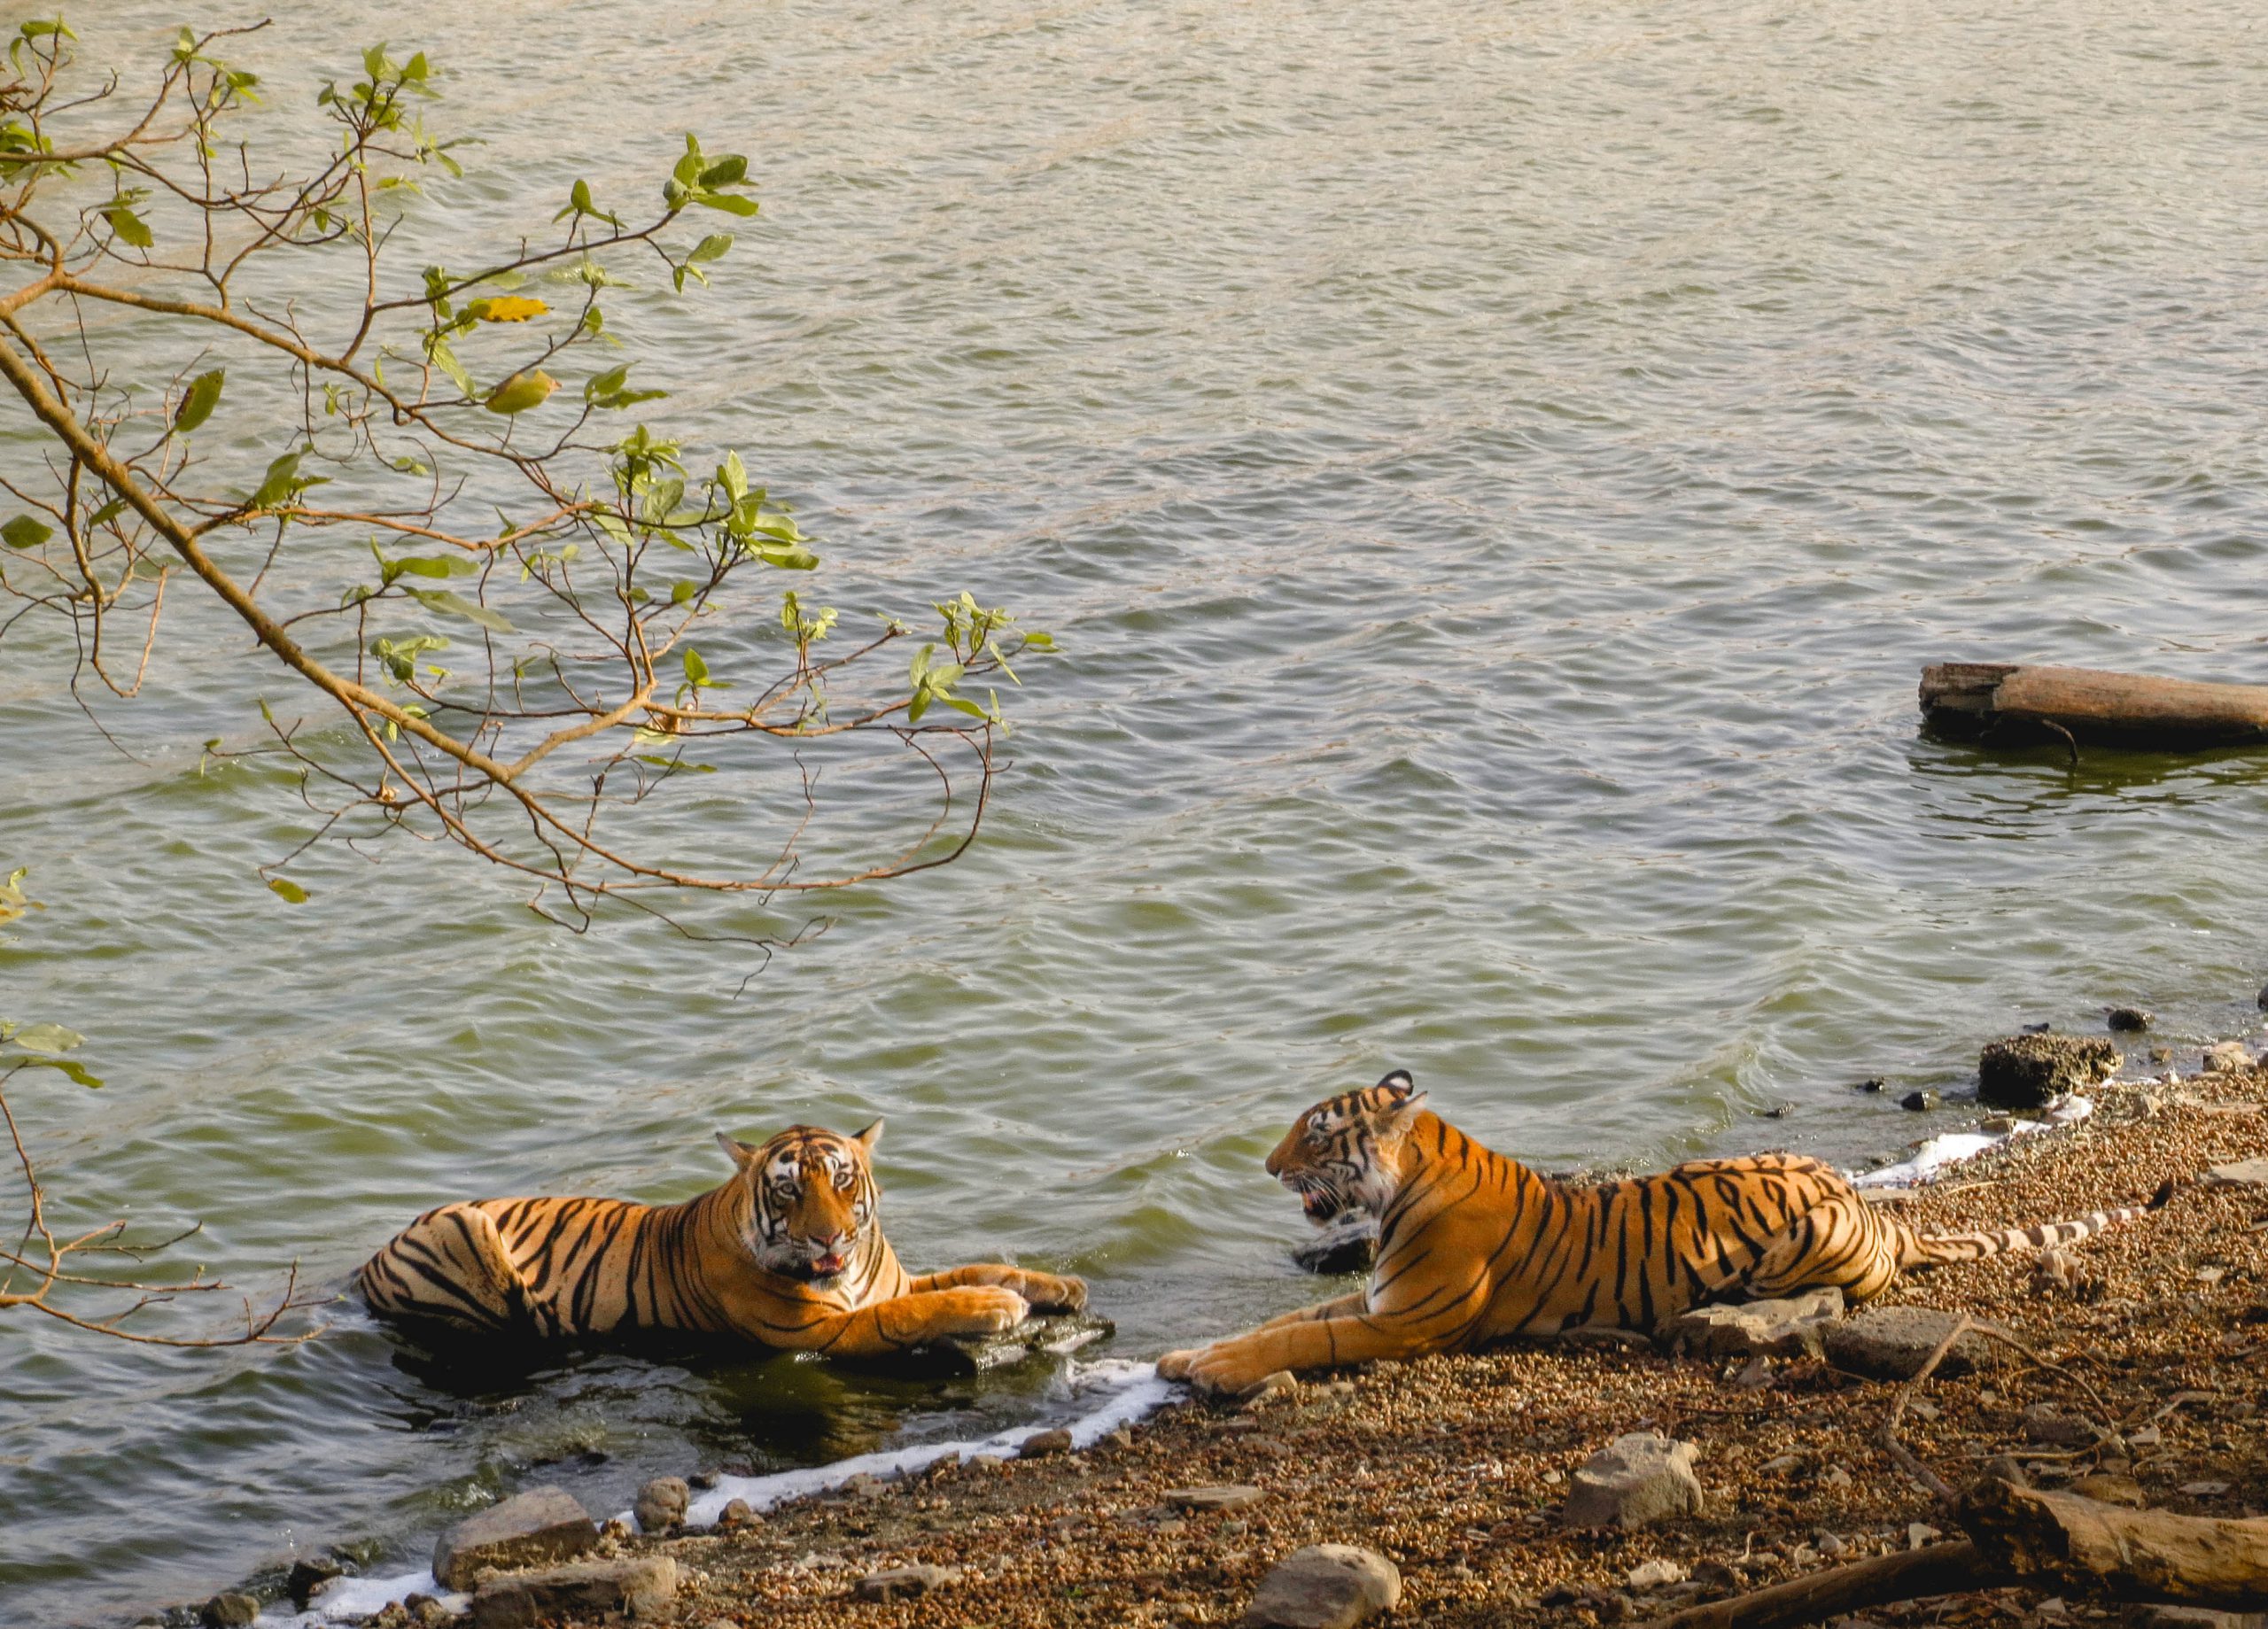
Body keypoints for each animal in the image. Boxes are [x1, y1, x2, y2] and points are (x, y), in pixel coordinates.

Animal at [358, 1116, 1084, 1361]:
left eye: (843, 1180)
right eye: (789, 1190)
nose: (831, 1238)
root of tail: (367, 1262)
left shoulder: (892, 1280)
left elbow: (977, 1266)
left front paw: (1060, 1285)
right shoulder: (822, 1330)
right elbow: (924, 1308)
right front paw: (997, 1306)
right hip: (467, 1226)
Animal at [1161, 1070, 2168, 1406]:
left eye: (1316, 1134)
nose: (1265, 1165)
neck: (1403, 1184)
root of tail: (1872, 1204)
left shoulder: (1401, 1319)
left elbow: (1302, 1337)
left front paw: (1210, 1369)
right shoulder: (1375, 1294)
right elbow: (1280, 1323)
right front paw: (1179, 1356)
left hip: (1802, 1242)